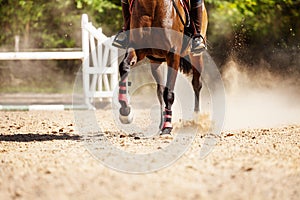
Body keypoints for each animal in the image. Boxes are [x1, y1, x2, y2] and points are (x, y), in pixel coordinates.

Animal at [118, 0, 209, 134]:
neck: (152, 5)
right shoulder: (137, 49)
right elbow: (124, 67)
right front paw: (125, 112)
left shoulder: (173, 55)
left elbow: (169, 93)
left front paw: (168, 126)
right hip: (156, 61)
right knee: (160, 90)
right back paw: (161, 123)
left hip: (196, 56)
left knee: (197, 84)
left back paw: (195, 119)